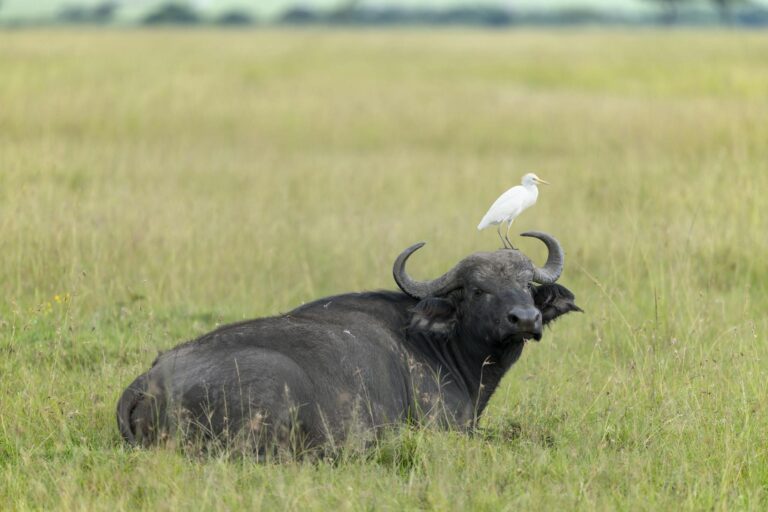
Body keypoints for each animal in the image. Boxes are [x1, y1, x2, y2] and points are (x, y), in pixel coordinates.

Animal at [117, 232, 581, 455]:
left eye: (527, 285)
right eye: (478, 290)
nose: (525, 319)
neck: (437, 343)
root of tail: (146, 380)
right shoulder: (446, 428)